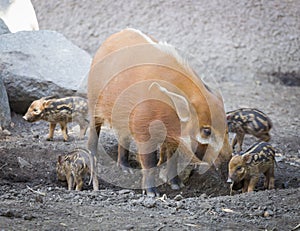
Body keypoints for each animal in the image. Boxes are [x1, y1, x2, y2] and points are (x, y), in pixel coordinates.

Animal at [86, 28, 232, 196]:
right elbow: (149, 162)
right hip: (93, 101)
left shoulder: (174, 137)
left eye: (227, 129)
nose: (227, 166)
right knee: (94, 132)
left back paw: (126, 169)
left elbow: (173, 159)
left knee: (123, 137)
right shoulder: (143, 129)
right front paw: (152, 193)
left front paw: (177, 185)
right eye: (206, 131)